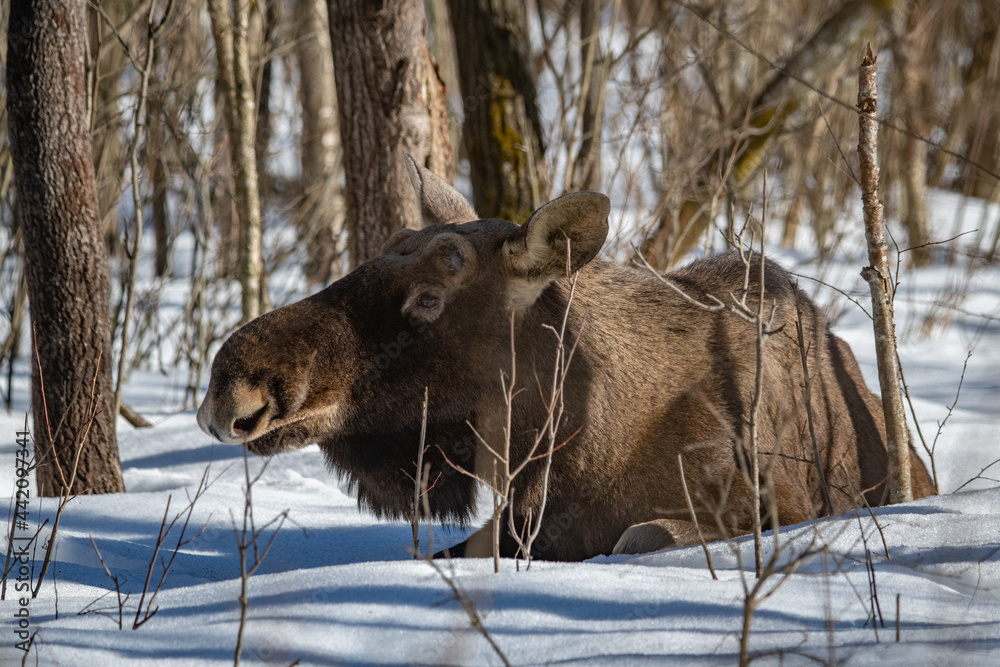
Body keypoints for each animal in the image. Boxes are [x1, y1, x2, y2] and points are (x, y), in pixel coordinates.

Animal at [197, 158, 935, 561]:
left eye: (431, 296)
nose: (232, 388)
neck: (584, 443)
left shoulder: (777, 506)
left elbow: (639, 535)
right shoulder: (513, 521)